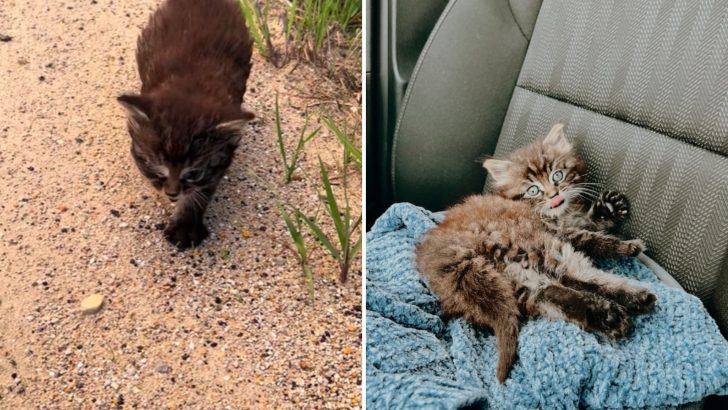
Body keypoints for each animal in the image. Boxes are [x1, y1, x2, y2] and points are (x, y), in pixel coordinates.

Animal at [118, 0, 255, 250]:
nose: (172, 194)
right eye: (156, 167)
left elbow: (201, 191)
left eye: (193, 173)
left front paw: (186, 225)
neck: (190, 85)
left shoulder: (222, 157)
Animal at [416, 125, 660, 384]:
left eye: (557, 176)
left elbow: (587, 222)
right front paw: (626, 244)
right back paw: (630, 301)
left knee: (550, 293)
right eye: (533, 190)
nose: (554, 195)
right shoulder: (559, 232)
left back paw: (611, 315)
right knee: (579, 276)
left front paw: (610, 207)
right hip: (536, 245)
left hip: (519, 277)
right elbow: (591, 238)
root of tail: (456, 257)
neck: (552, 213)